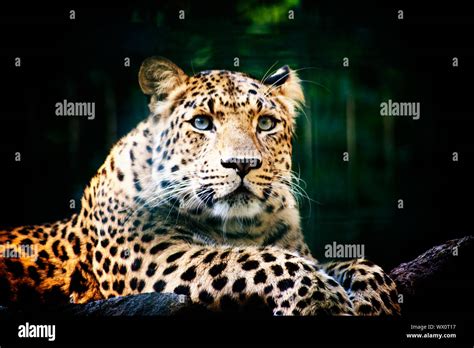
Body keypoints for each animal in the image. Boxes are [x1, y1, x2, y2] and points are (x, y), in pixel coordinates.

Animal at [0, 56, 400, 316]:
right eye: (202, 123)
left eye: (266, 123)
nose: (242, 164)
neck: (239, 226)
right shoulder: (155, 257)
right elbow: (250, 258)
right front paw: (321, 298)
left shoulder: (305, 250)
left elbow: (356, 262)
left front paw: (377, 300)